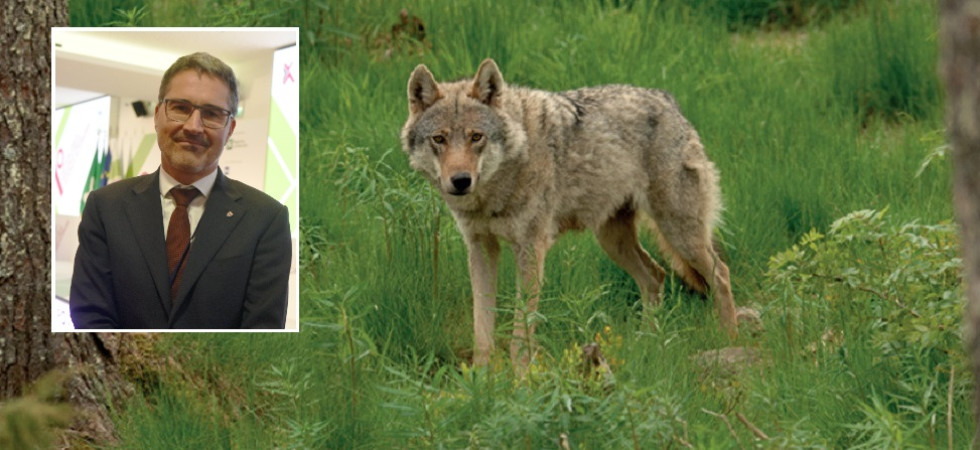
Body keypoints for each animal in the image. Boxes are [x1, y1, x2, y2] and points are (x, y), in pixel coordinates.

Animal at [400, 59, 737, 366]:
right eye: (439, 139)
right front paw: (482, 380)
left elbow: (521, 331)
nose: (460, 181)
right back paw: (647, 343)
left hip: (679, 233)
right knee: (656, 276)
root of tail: (668, 100)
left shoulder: (531, 249)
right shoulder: (481, 248)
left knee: (720, 274)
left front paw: (521, 380)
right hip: (614, 241)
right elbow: (482, 329)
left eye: (476, 137)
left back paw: (728, 339)